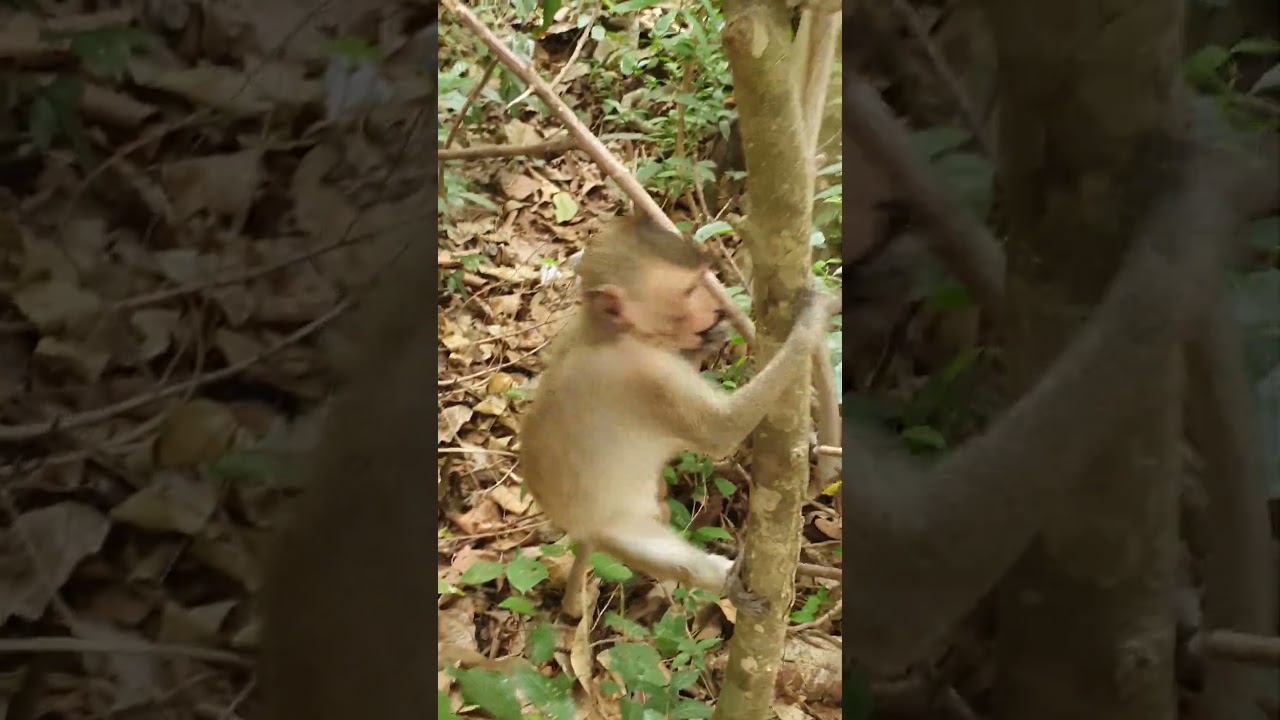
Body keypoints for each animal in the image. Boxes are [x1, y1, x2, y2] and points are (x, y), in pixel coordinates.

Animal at [518, 214, 840, 617]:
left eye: (701, 282)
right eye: (689, 291)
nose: (715, 308)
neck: (608, 331)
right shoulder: (646, 377)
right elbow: (722, 429)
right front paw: (813, 322)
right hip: (616, 525)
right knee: (672, 558)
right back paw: (726, 581)